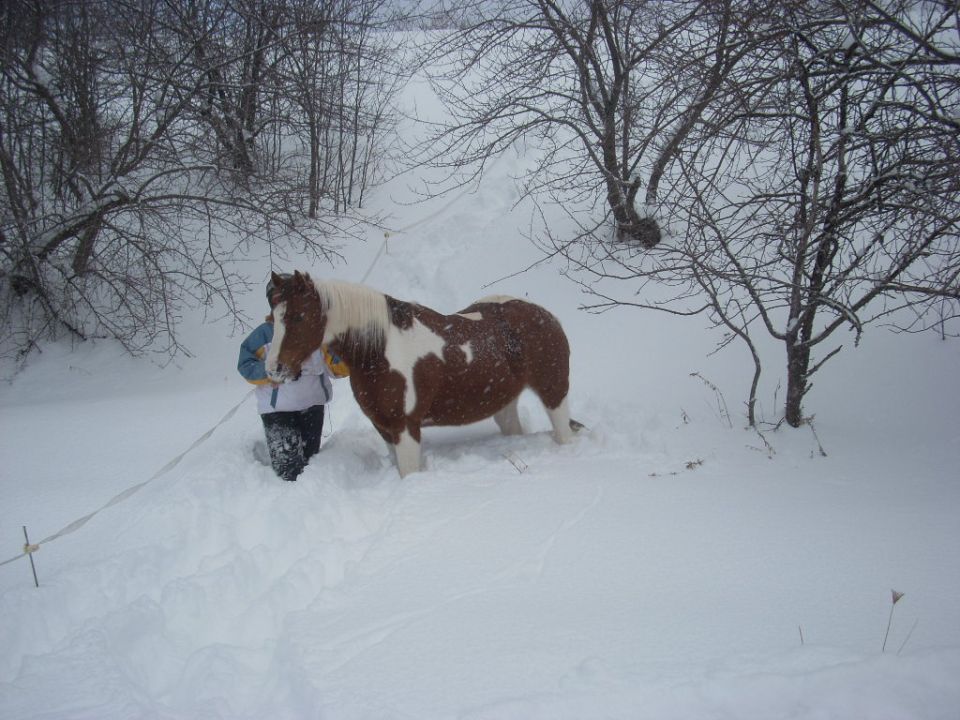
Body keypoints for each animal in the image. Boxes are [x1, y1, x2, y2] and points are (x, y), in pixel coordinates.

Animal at [265, 271, 576, 477]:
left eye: (298, 316)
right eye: (272, 318)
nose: (274, 369)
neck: (380, 349)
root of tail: (548, 316)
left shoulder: (406, 426)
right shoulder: (384, 427)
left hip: (554, 393)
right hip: (505, 402)